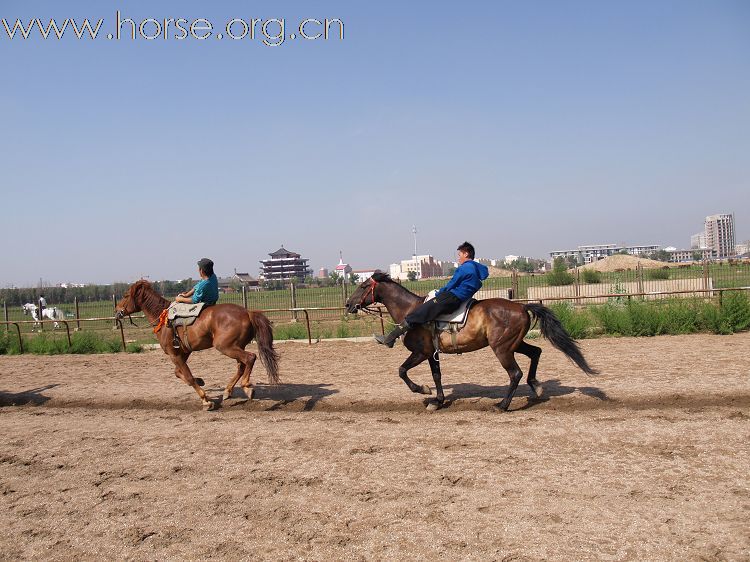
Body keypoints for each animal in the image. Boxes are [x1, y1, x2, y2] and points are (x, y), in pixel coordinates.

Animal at [116, 278, 280, 406]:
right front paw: (200, 381)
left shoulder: (174, 354)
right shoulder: (183, 352)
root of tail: (247, 312)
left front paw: (205, 400)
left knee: (250, 358)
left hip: (225, 347)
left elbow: (187, 376)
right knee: (241, 365)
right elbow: (178, 373)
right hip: (236, 346)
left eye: (125, 295)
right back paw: (228, 391)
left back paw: (246, 387)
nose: (117, 311)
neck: (163, 318)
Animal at [348, 272, 600, 410]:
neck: (411, 311)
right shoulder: (431, 354)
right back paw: (536, 386)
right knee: (536, 352)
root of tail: (521, 306)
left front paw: (422, 390)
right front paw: (437, 400)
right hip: (514, 344)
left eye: (362, 286)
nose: (349, 305)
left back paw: (503, 405)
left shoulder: (420, 353)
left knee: (515, 373)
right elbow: (437, 376)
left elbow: (401, 371)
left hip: (503, 349)